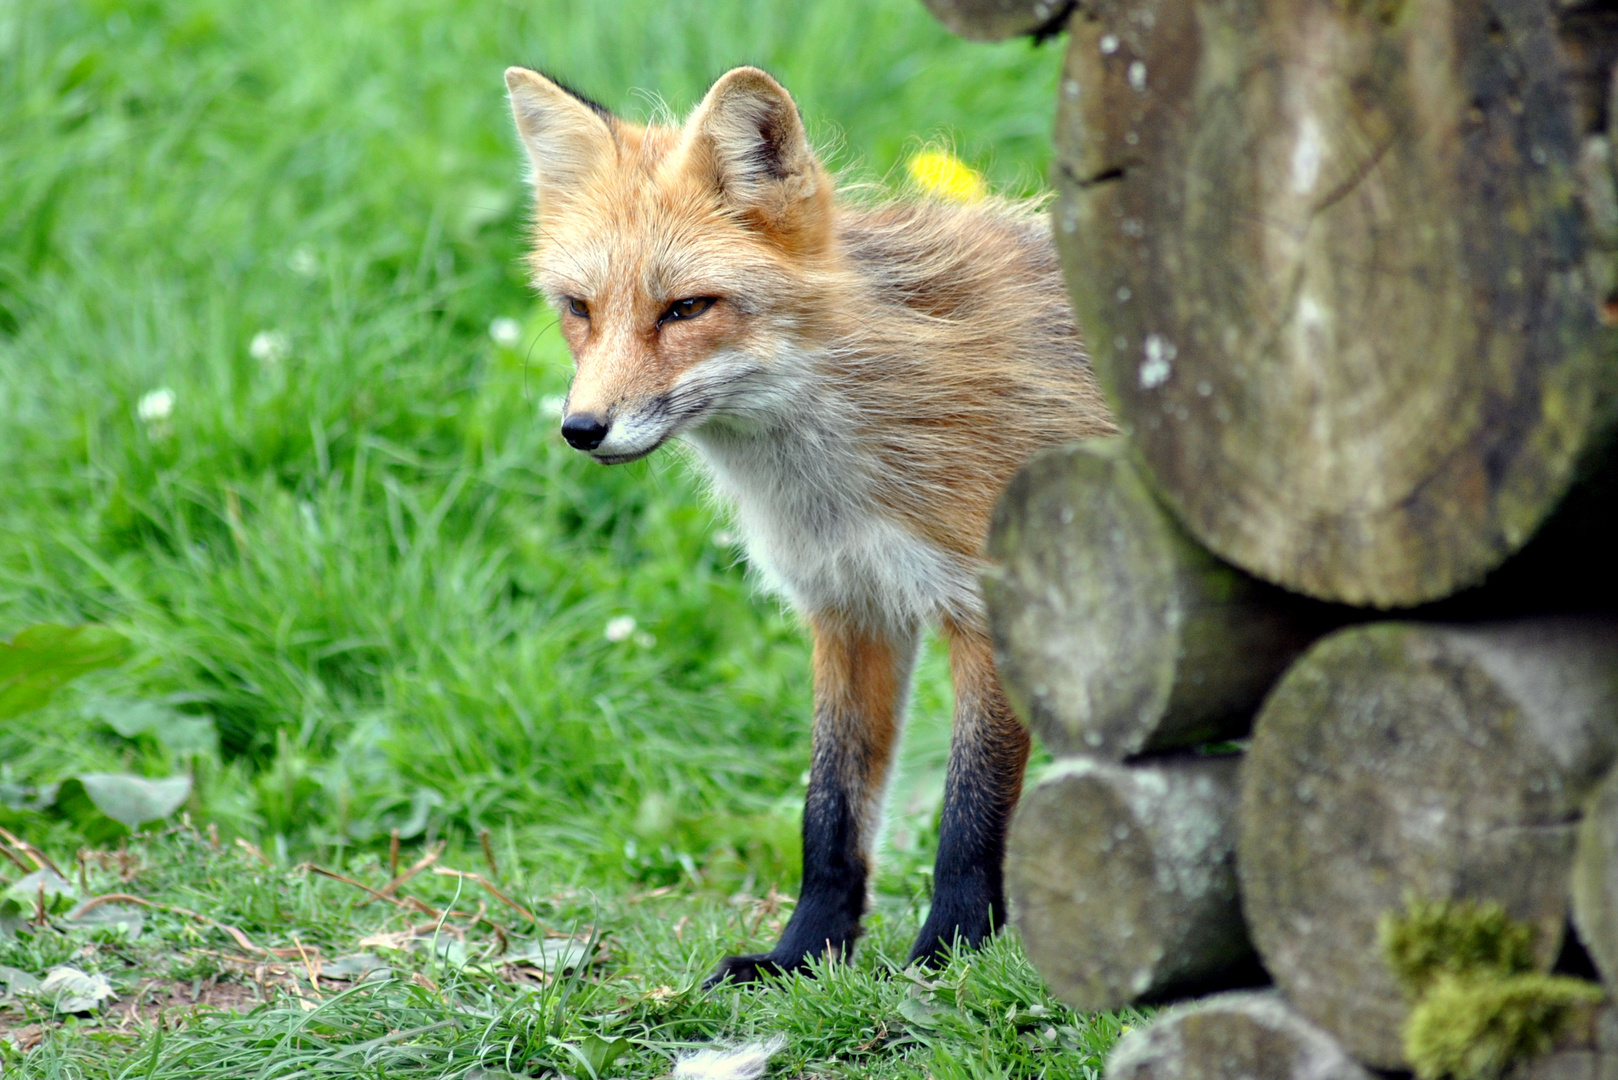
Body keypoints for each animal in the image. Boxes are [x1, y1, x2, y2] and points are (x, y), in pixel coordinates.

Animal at [504, 61, 1113, 990]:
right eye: (580, 308)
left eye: (686, 309)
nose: (582, 429)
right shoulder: (849, 605)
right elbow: (828, 814)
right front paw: (803, 956)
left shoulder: (995, 609)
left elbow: (968, 820)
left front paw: (948, 957)